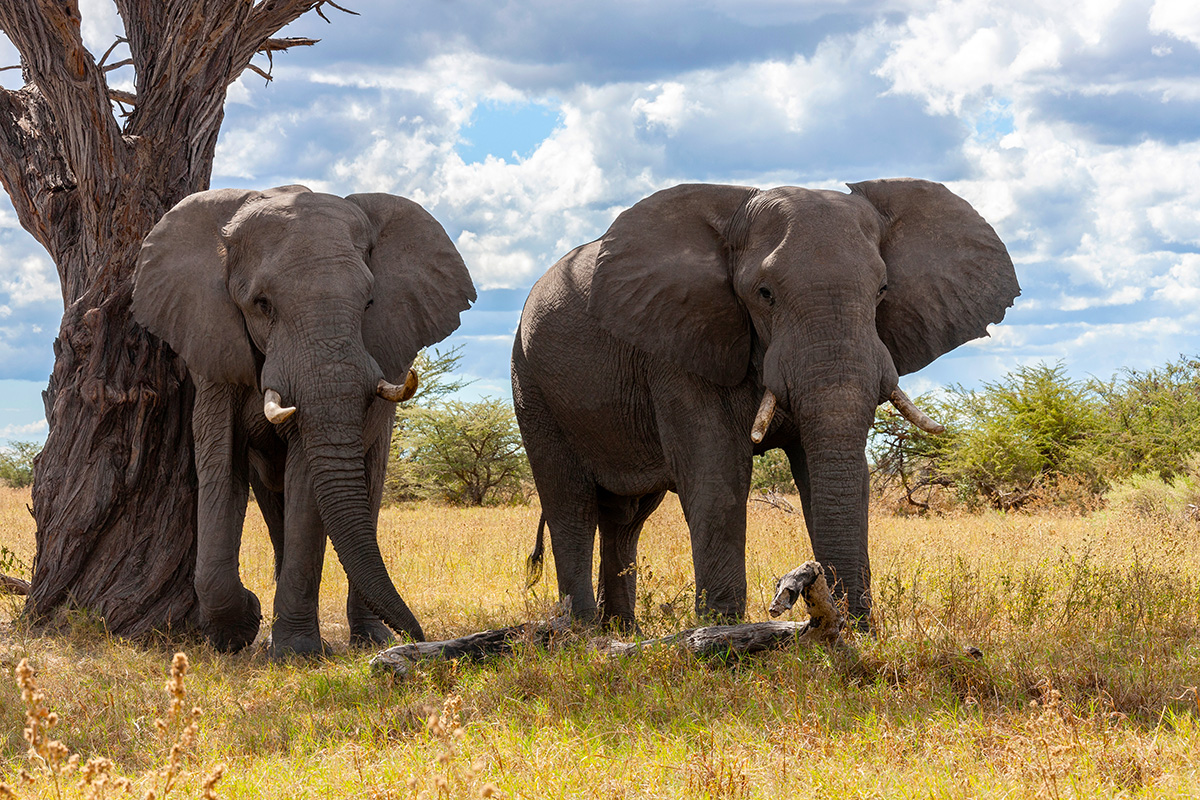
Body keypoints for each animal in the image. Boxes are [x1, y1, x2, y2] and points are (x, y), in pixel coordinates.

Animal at [132, 184, 475, 655]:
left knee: (367, 486)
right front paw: (240, 629)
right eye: (262, 305)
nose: (419, 636)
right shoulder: (213, 346)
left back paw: (371, 640)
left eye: (369, 303)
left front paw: (295, 653)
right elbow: (220, 462)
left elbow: (306, 477)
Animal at [513, 179, 1018, 628]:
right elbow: (717, 477)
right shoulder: (679, 346)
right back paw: (582, 635)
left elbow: (829, 475)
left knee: (625, 517)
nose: (846, 619)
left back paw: (622, 631)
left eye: (881, 291)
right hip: (531, 383)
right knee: (570, 504)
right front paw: (721, 636)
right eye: (765, 294)